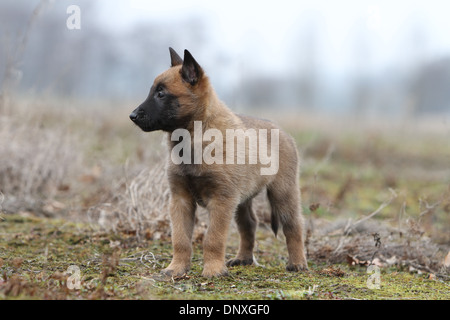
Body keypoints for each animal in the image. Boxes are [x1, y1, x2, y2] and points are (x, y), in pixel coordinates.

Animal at [128, 48, 308, 278]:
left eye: (161, 94)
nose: (132, 116)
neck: (194, 137)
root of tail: (282, 131)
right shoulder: (180, 200)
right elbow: (180, 239)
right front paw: (176, 268)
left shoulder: (221, 200)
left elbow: (213, 238)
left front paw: (213, 270)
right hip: (242, 199)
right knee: (249, 224)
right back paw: (243, 259)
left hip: (283, 193)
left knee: (293, 225)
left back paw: (298, 263)